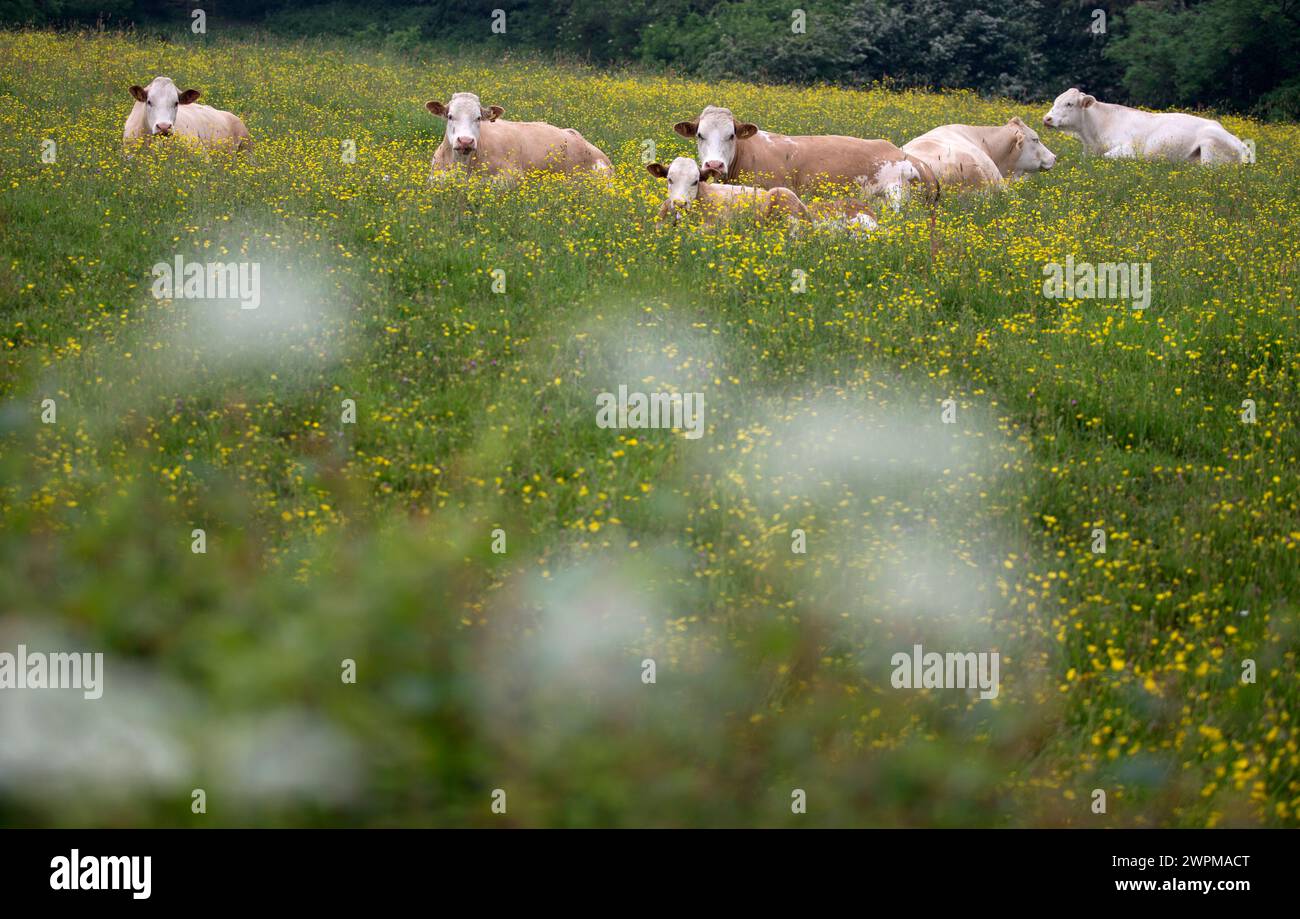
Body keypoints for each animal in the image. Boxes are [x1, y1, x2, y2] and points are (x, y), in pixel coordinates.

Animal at [1040, 89, 1242, 164]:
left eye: (1069, 104)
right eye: (1055, 101)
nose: (1047, 119)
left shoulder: (1128, 149)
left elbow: (1106, 157)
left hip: (1210, 147)